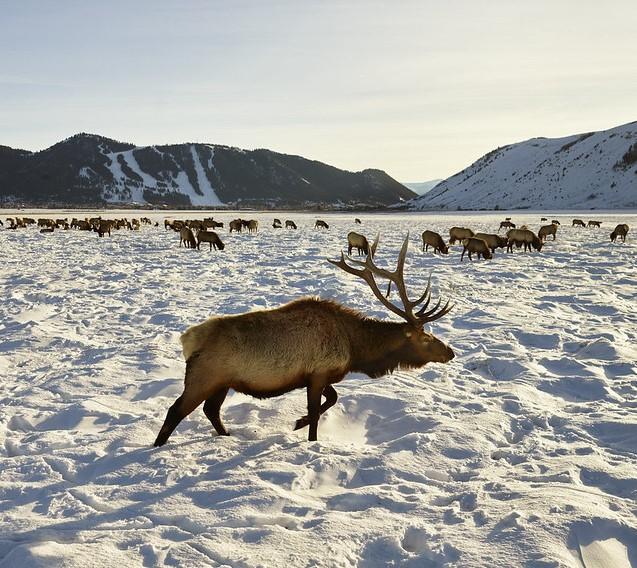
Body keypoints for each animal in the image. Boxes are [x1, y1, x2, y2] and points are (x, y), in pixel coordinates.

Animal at [153, 236, 452, 448]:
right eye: (425, 337)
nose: (450, 351)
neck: (355, 348)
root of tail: (188, 340)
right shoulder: (318, 373)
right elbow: (318, 411)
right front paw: (306, 432)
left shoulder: (317, 376)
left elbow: (332, 399)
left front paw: (298, 422)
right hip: (203, 377)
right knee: (175, 411)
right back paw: (157, 447)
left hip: (222, 382)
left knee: (211, 410)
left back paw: (227, 434)